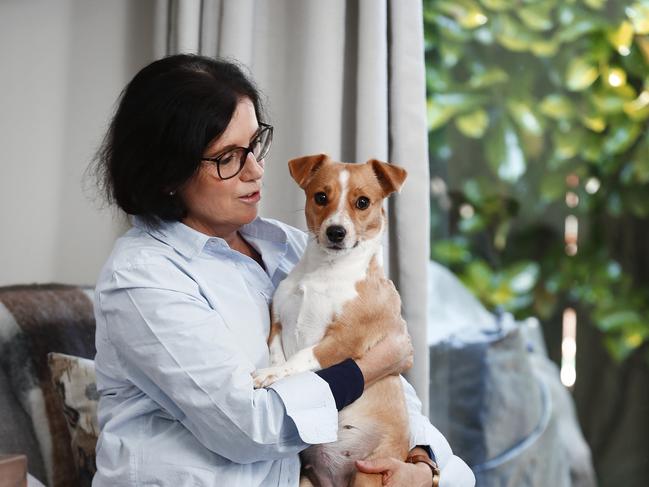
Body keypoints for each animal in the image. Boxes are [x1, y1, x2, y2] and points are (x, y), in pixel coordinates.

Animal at [253, 155, 410, 487]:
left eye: (363, 202)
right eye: (321, 197)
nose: (336, 231)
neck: (325, 272)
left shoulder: (343, 339)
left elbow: (300, 357)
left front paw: (270, 375)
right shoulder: (278, 323)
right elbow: (278, 354)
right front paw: (272, 371)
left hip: (367, 474)